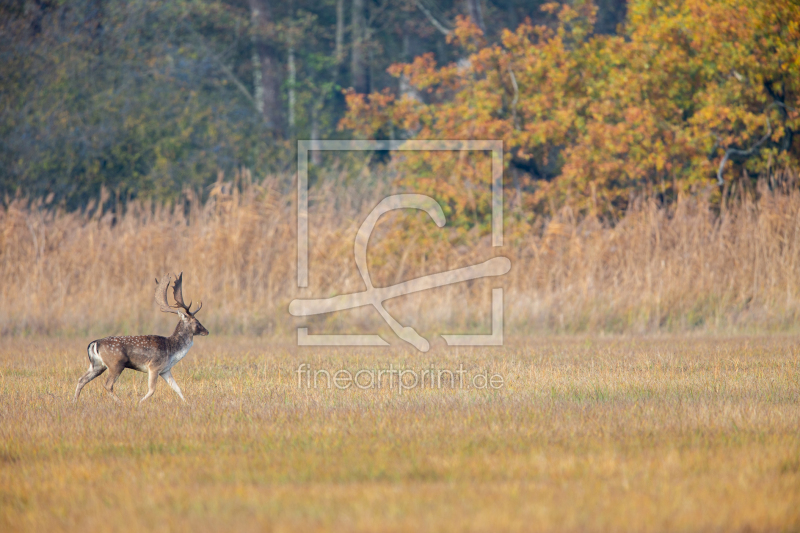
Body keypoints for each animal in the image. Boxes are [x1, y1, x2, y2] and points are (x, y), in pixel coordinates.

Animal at [73, 272, 208, 402]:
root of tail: (94, 343)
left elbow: (177, 388)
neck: (172, 350)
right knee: (107, 385)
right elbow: (152, 390)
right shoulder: (154, 366)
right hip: (115, 364)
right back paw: (120, 402)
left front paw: (187, 403)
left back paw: (75, 401)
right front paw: (139, 403)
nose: (206, 331)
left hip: (97, 365)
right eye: (197, 322)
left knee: (81, 379)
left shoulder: (165, 370)